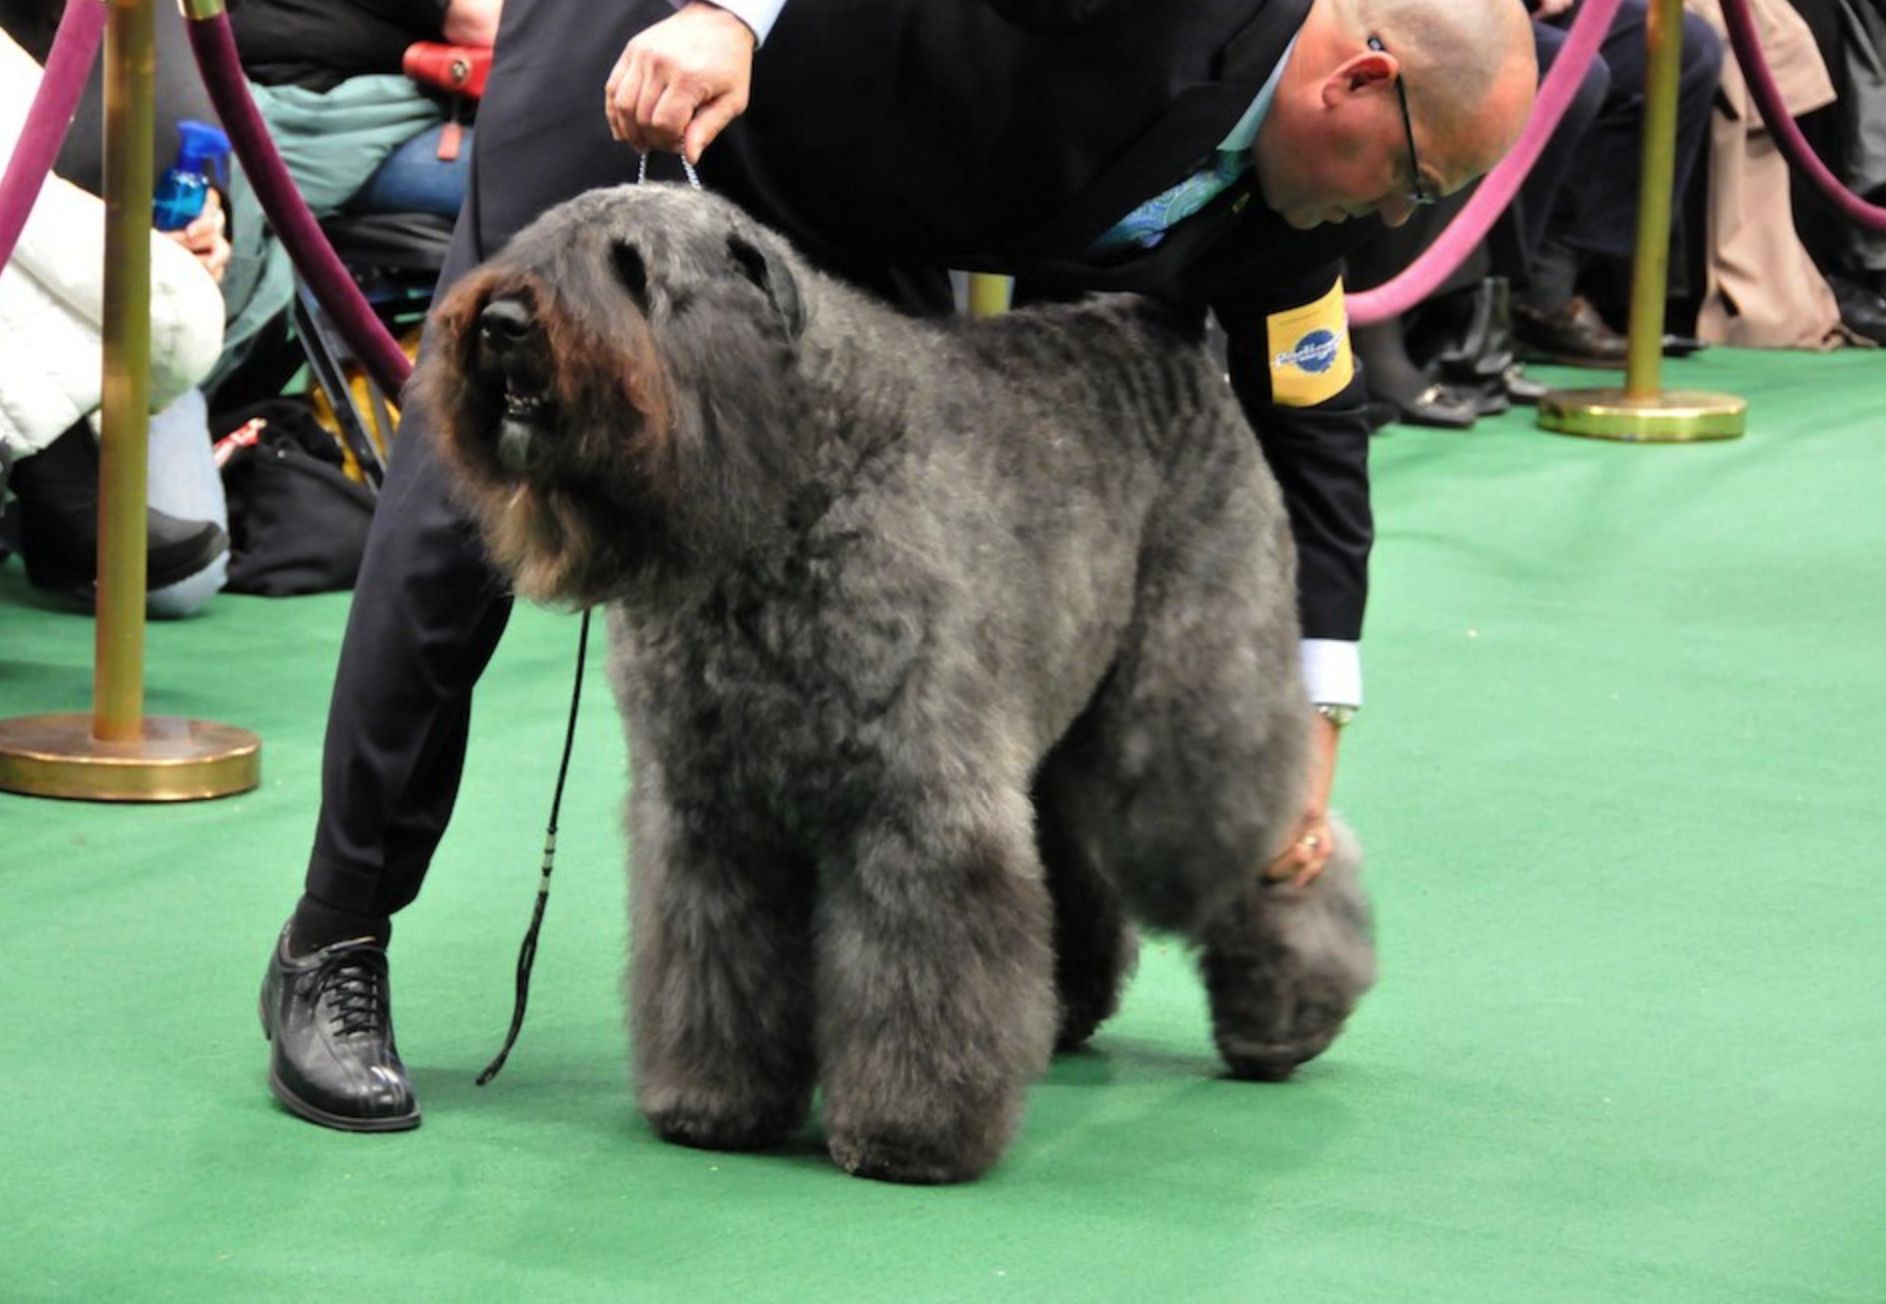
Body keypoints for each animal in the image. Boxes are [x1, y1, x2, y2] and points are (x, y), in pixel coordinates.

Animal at [420, 188, 1380, 1185]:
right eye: (533, 244)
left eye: (631, 269)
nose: (499, 321)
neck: (794, 480)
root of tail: (1170, 333)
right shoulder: (708, 819)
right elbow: (715, 961)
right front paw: (715, 1101)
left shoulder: (914, 805)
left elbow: (917, 971)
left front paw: (912, 1130)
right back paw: (1069, 1007)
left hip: (1186, 722)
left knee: (1266, 835)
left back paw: (1287, 1018)